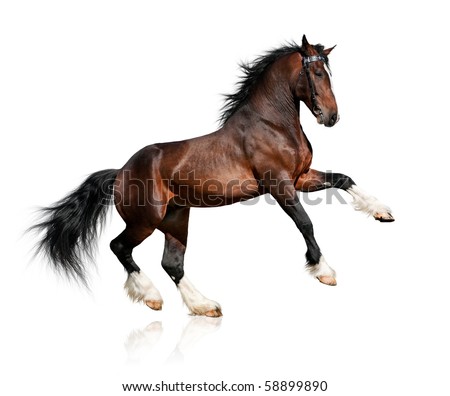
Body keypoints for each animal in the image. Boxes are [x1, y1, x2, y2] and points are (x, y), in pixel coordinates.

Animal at [31, 35, 394, 318]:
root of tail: (120, 172)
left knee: (172, 264)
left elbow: (344, 179)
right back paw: (151, 297)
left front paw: (382, 212)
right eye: (317, 72)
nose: (331, 117)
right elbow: (305, 223)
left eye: (329, 72)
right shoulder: (279, 184)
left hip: (176, 219)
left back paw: (204, 306)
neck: (272, 124)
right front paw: (324, 272)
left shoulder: (301, 177)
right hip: (145, 220)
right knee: (119, 247)